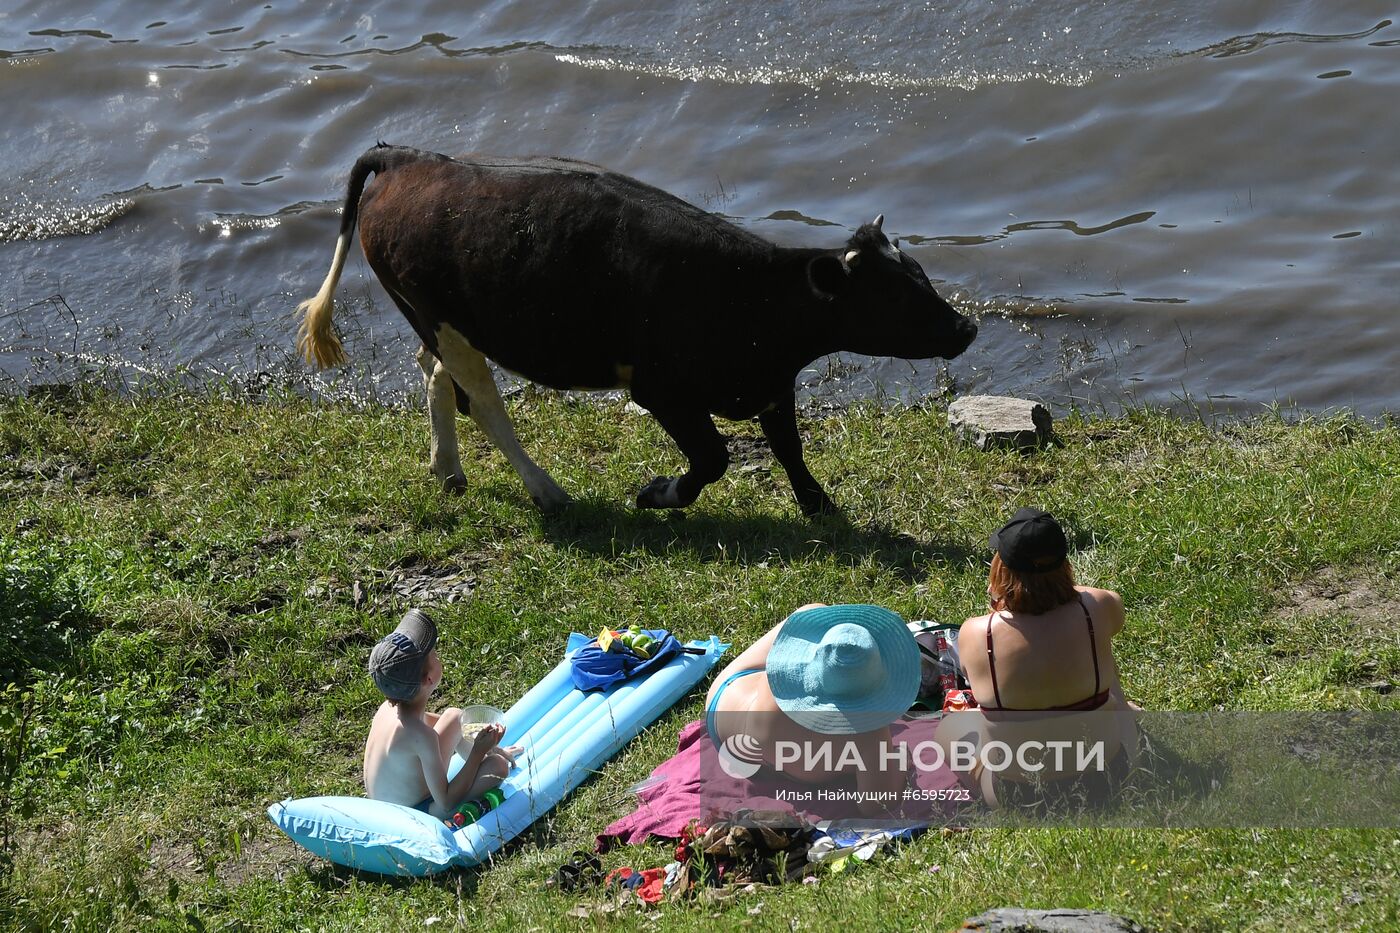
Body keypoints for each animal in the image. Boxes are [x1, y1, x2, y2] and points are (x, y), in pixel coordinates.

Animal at [295, 143, 974, 515]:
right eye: (897, 296)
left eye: (921, 273)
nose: (966, 328)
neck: (747, 298)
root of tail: (408, 157)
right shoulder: (662, 389)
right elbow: (713, 459)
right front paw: (657, 494)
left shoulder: (771, 384)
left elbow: (789, 446)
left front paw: (818, 504)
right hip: (440, 319)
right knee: (483, 402)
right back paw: (548, 492)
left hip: (444, 321)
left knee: (435, 376)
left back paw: (449, 470)